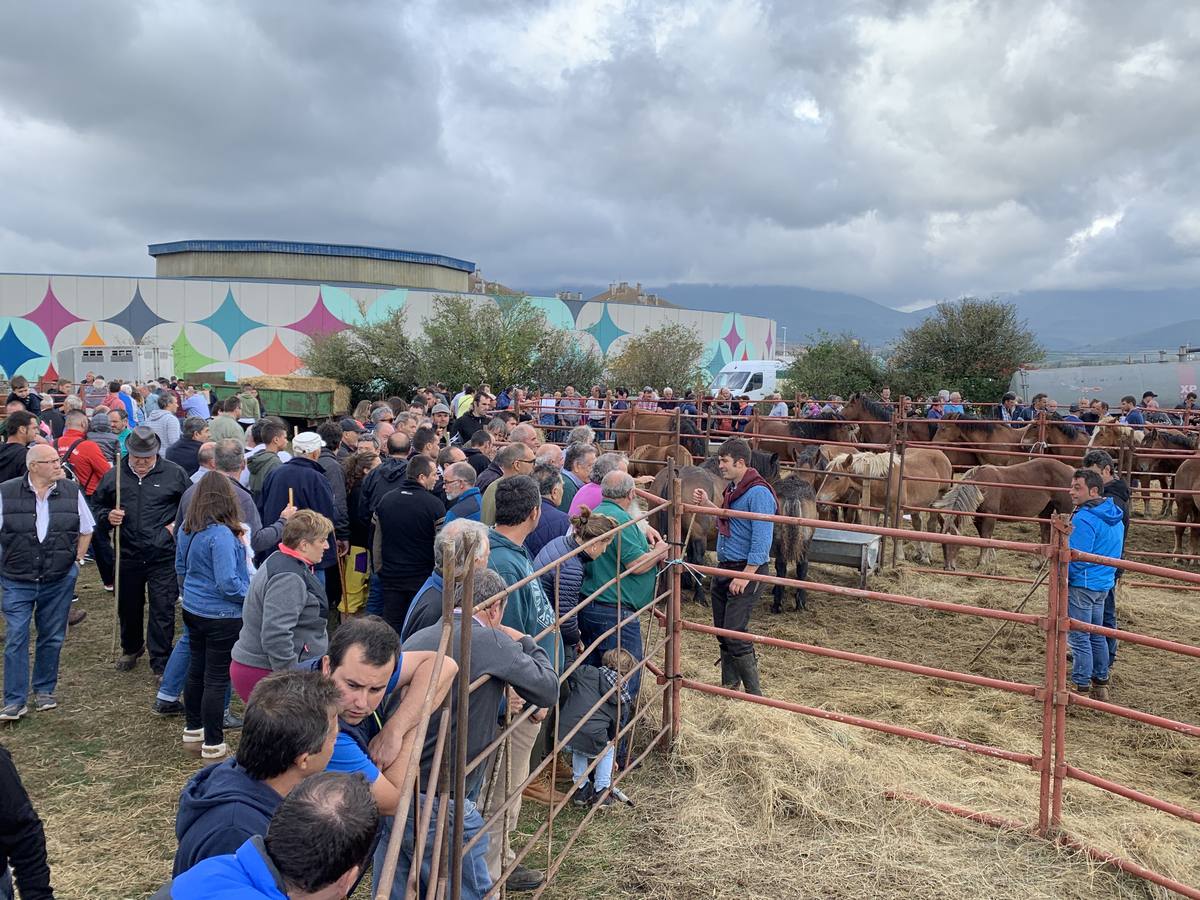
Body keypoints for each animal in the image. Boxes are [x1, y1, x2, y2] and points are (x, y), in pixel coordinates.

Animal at [811, 446, 950, 564]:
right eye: (825, 474)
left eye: (837, 477)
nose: (819, 500)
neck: (882, 480)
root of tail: (942, 454)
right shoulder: (875, 510)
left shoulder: (896, 511)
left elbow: (896, 533)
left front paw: (899, 557)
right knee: (918, 524)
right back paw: (920, 553)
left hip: (936, 502)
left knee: (931, 526)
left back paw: (926, 557)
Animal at [931, 460, 1075, 573]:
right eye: (941, 541)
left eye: (956, 541)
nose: (948, 568)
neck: (981, 486)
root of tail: (1070, 468)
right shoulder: (978, 519)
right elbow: (982, 537)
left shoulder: (990, 516)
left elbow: (986, 537)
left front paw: (982, 563)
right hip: (1046, 510)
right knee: (1045, 531)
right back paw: (1038, 563)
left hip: (1065, 509)